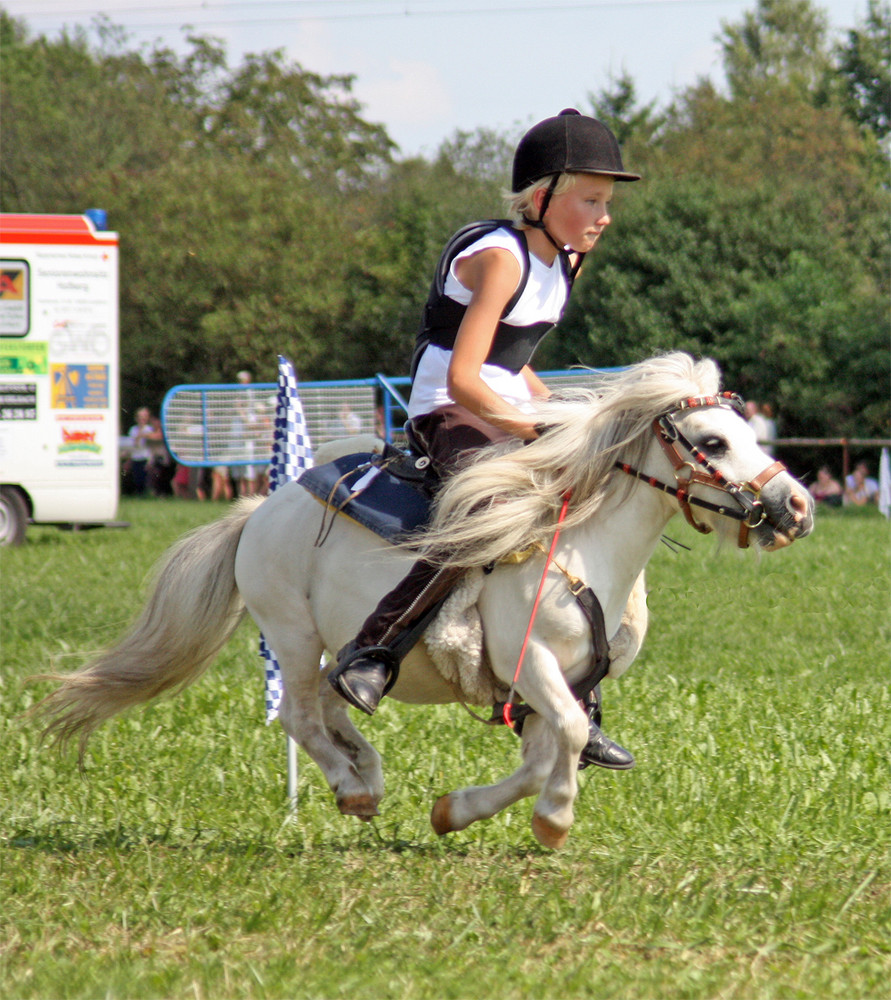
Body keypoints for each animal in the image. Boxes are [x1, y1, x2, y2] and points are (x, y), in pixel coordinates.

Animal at [34, 356, 816, 848]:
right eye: (712, 440)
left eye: (750, 433)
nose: (797, 507)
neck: (582, 550)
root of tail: (259, 508)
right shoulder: (529, 661)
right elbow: (562, 739)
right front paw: (554, 819)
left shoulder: (558, 680)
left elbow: (548, 750)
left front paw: (457, 812)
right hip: (289, 630)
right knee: (297, 712)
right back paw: (353, 788)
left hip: (328, 641)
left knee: (330, 699)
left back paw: (365, 768)